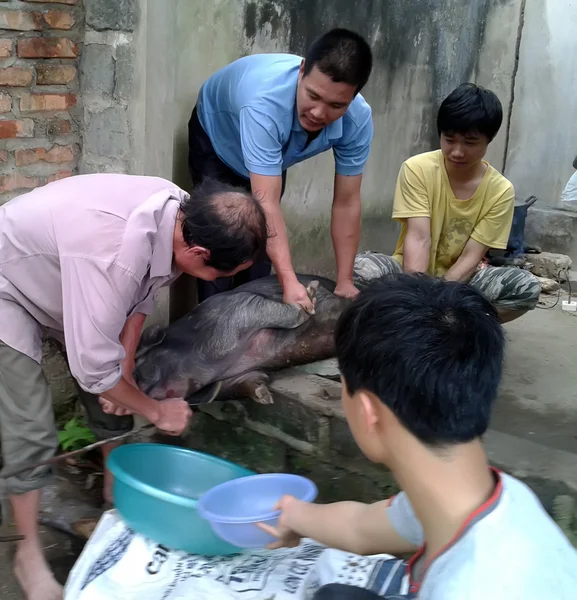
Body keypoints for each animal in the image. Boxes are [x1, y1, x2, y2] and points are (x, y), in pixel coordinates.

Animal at [131, 251, 394, 406]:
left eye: (138, 369)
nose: (142, 392)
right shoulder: (238, 373)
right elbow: (241, 384)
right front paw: (265, 398)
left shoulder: (243, 307)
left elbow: (282, 311)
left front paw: (310, 292)